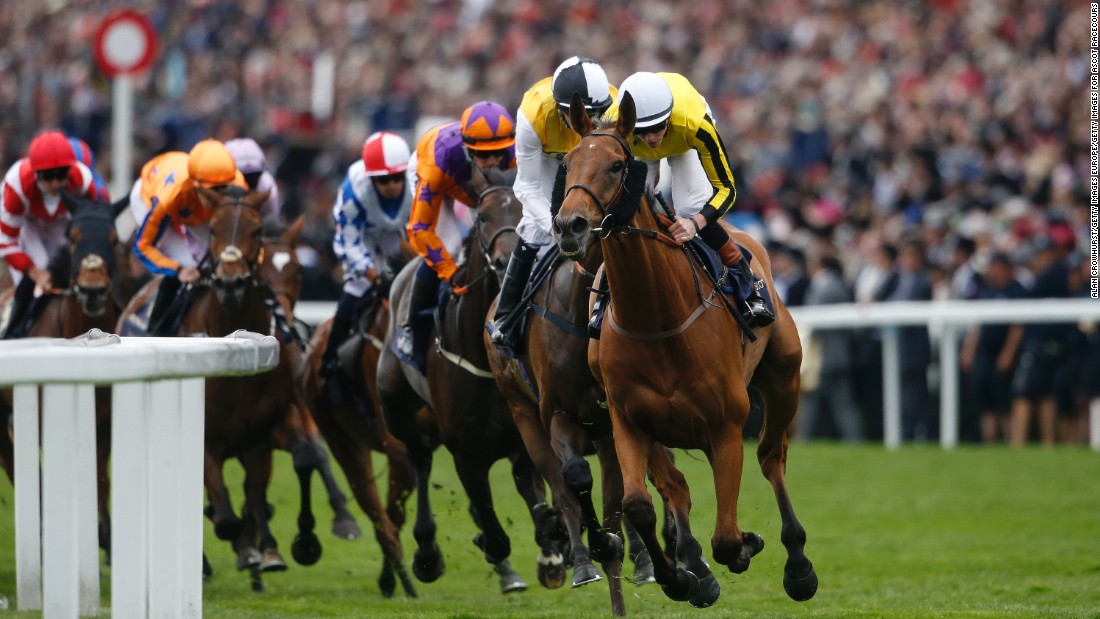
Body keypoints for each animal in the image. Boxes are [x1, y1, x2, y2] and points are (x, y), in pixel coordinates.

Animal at [378, 169, 558, 593]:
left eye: (527, 212)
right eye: (482, 217)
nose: (507, 260)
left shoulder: (523, 437)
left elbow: (537, 501)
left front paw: (552, 552)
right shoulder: (464, 451)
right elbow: (495, 531)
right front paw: (486, 543)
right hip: (398, 409)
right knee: (420, 461)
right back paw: (427, 551)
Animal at [550, 96, 818, 611]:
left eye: (616, 165)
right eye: (568, 163)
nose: (570, 225)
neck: (658, 321)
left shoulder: (727, 426)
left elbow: (728, 538)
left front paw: (746, 547)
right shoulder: (629, 420)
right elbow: (641, 504)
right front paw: (681, 577)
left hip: (783, 379)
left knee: (771, 457)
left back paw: (797, 564)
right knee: (677, 487)